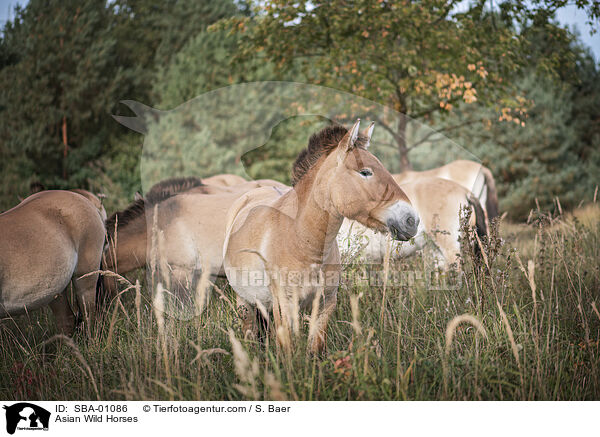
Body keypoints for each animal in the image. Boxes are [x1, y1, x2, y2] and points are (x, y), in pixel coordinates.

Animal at [223, 121, 420, 352]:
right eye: (365, 172)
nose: (412, 220)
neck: (301, 240)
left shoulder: (325, 304)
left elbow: (315, 348)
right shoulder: (284, 305)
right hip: (245, 304)